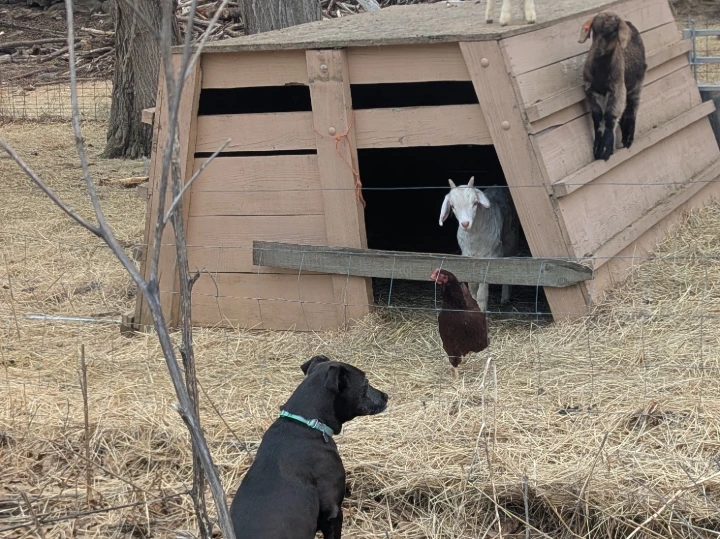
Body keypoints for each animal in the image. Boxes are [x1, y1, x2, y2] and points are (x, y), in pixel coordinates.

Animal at [439, 177, 519, 312]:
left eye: (475, 203)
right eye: (453, 206)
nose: (465, 223)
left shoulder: (490, 256)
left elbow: (482, 291)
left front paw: (482, 308)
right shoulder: (468, 256)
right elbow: (472, 285)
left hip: (511, 237)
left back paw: (505, 297)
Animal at [579, 11, 647, 161]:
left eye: (612, 33)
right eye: (594, 31)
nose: (598, 50)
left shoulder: (617, 90)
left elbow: (610, 117)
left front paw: (606, 150)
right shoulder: (591, 91)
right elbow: (597, 118)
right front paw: (597, 150)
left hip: (636, 84)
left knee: (632, 107)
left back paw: (628, 139)